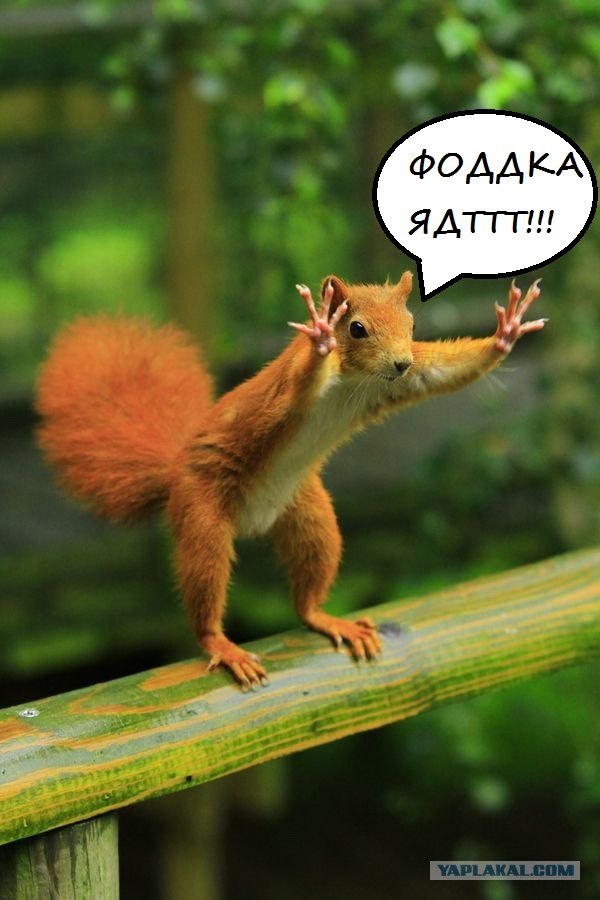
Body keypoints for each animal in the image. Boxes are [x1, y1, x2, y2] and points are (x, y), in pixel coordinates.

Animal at [36, 273, 545, 688]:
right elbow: (298, 385)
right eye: (356, 328)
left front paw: (506, 333)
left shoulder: (401, 382)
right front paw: (320, 335)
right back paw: (221, 644)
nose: (400, 362)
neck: (354, 380)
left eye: (413, 325)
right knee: (204, 582)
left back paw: (326, 618)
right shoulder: (285, 392)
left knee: (307, 589)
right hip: (202, 513)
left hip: (309, 514)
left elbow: (442, 371)